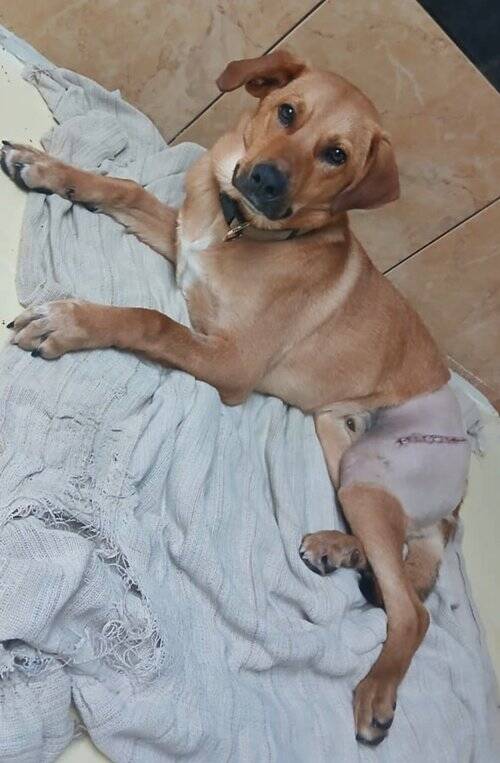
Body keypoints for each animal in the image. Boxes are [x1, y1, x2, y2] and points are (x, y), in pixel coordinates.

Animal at [1, 50, 470, 745]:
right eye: (286, 112)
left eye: (335, 154)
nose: (267, 179)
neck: (240, 229)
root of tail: (458, 497)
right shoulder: (180, 241)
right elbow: (127, 189)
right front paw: (49, 168)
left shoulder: (229, 364)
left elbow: (149, 320)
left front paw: (69, 322)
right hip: (346, 450)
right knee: (397, 570)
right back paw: (336, 548)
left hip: (375, 475)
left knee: (413, 612)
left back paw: (377, 696)